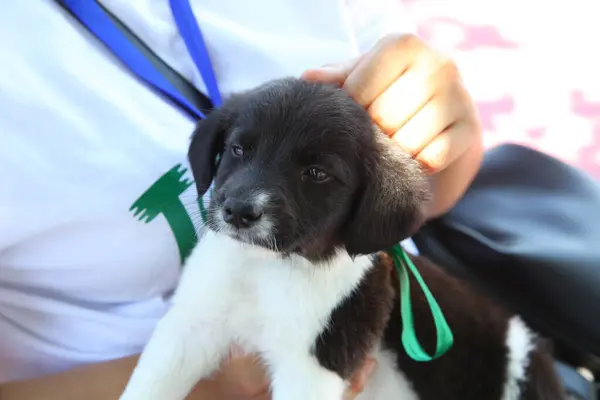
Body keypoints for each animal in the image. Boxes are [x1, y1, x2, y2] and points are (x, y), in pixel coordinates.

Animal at [123, 78, 568, 400]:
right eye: (237, 149)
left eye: (317, 174)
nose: (238, 211)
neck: (269, 270)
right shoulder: (191, 325)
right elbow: (148, 385)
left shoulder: (313, 367)